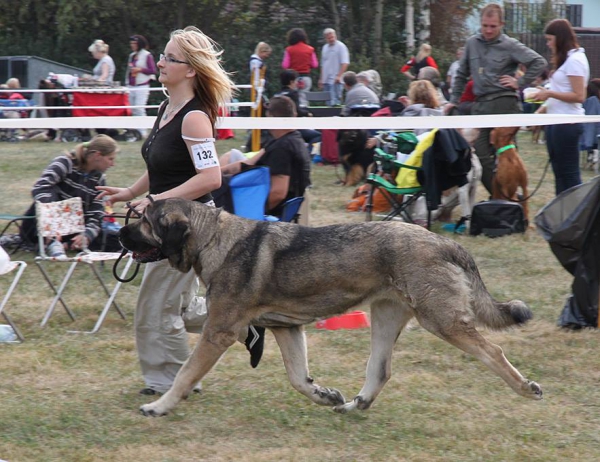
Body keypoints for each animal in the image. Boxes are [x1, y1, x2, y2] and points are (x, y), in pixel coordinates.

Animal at [118, 197, 544, 416]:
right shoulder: (286, 328)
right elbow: (298, 378)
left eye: (144, 219)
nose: (118, 231)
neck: (211, 238)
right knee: (381, 369)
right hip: (386, 317)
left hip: (441, 320)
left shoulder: (219, 332)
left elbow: (185, 373)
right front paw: (325, 395)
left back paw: (526, 388)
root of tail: (445, 242)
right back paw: (355, 405)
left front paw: (159, 405)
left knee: (493, 351)